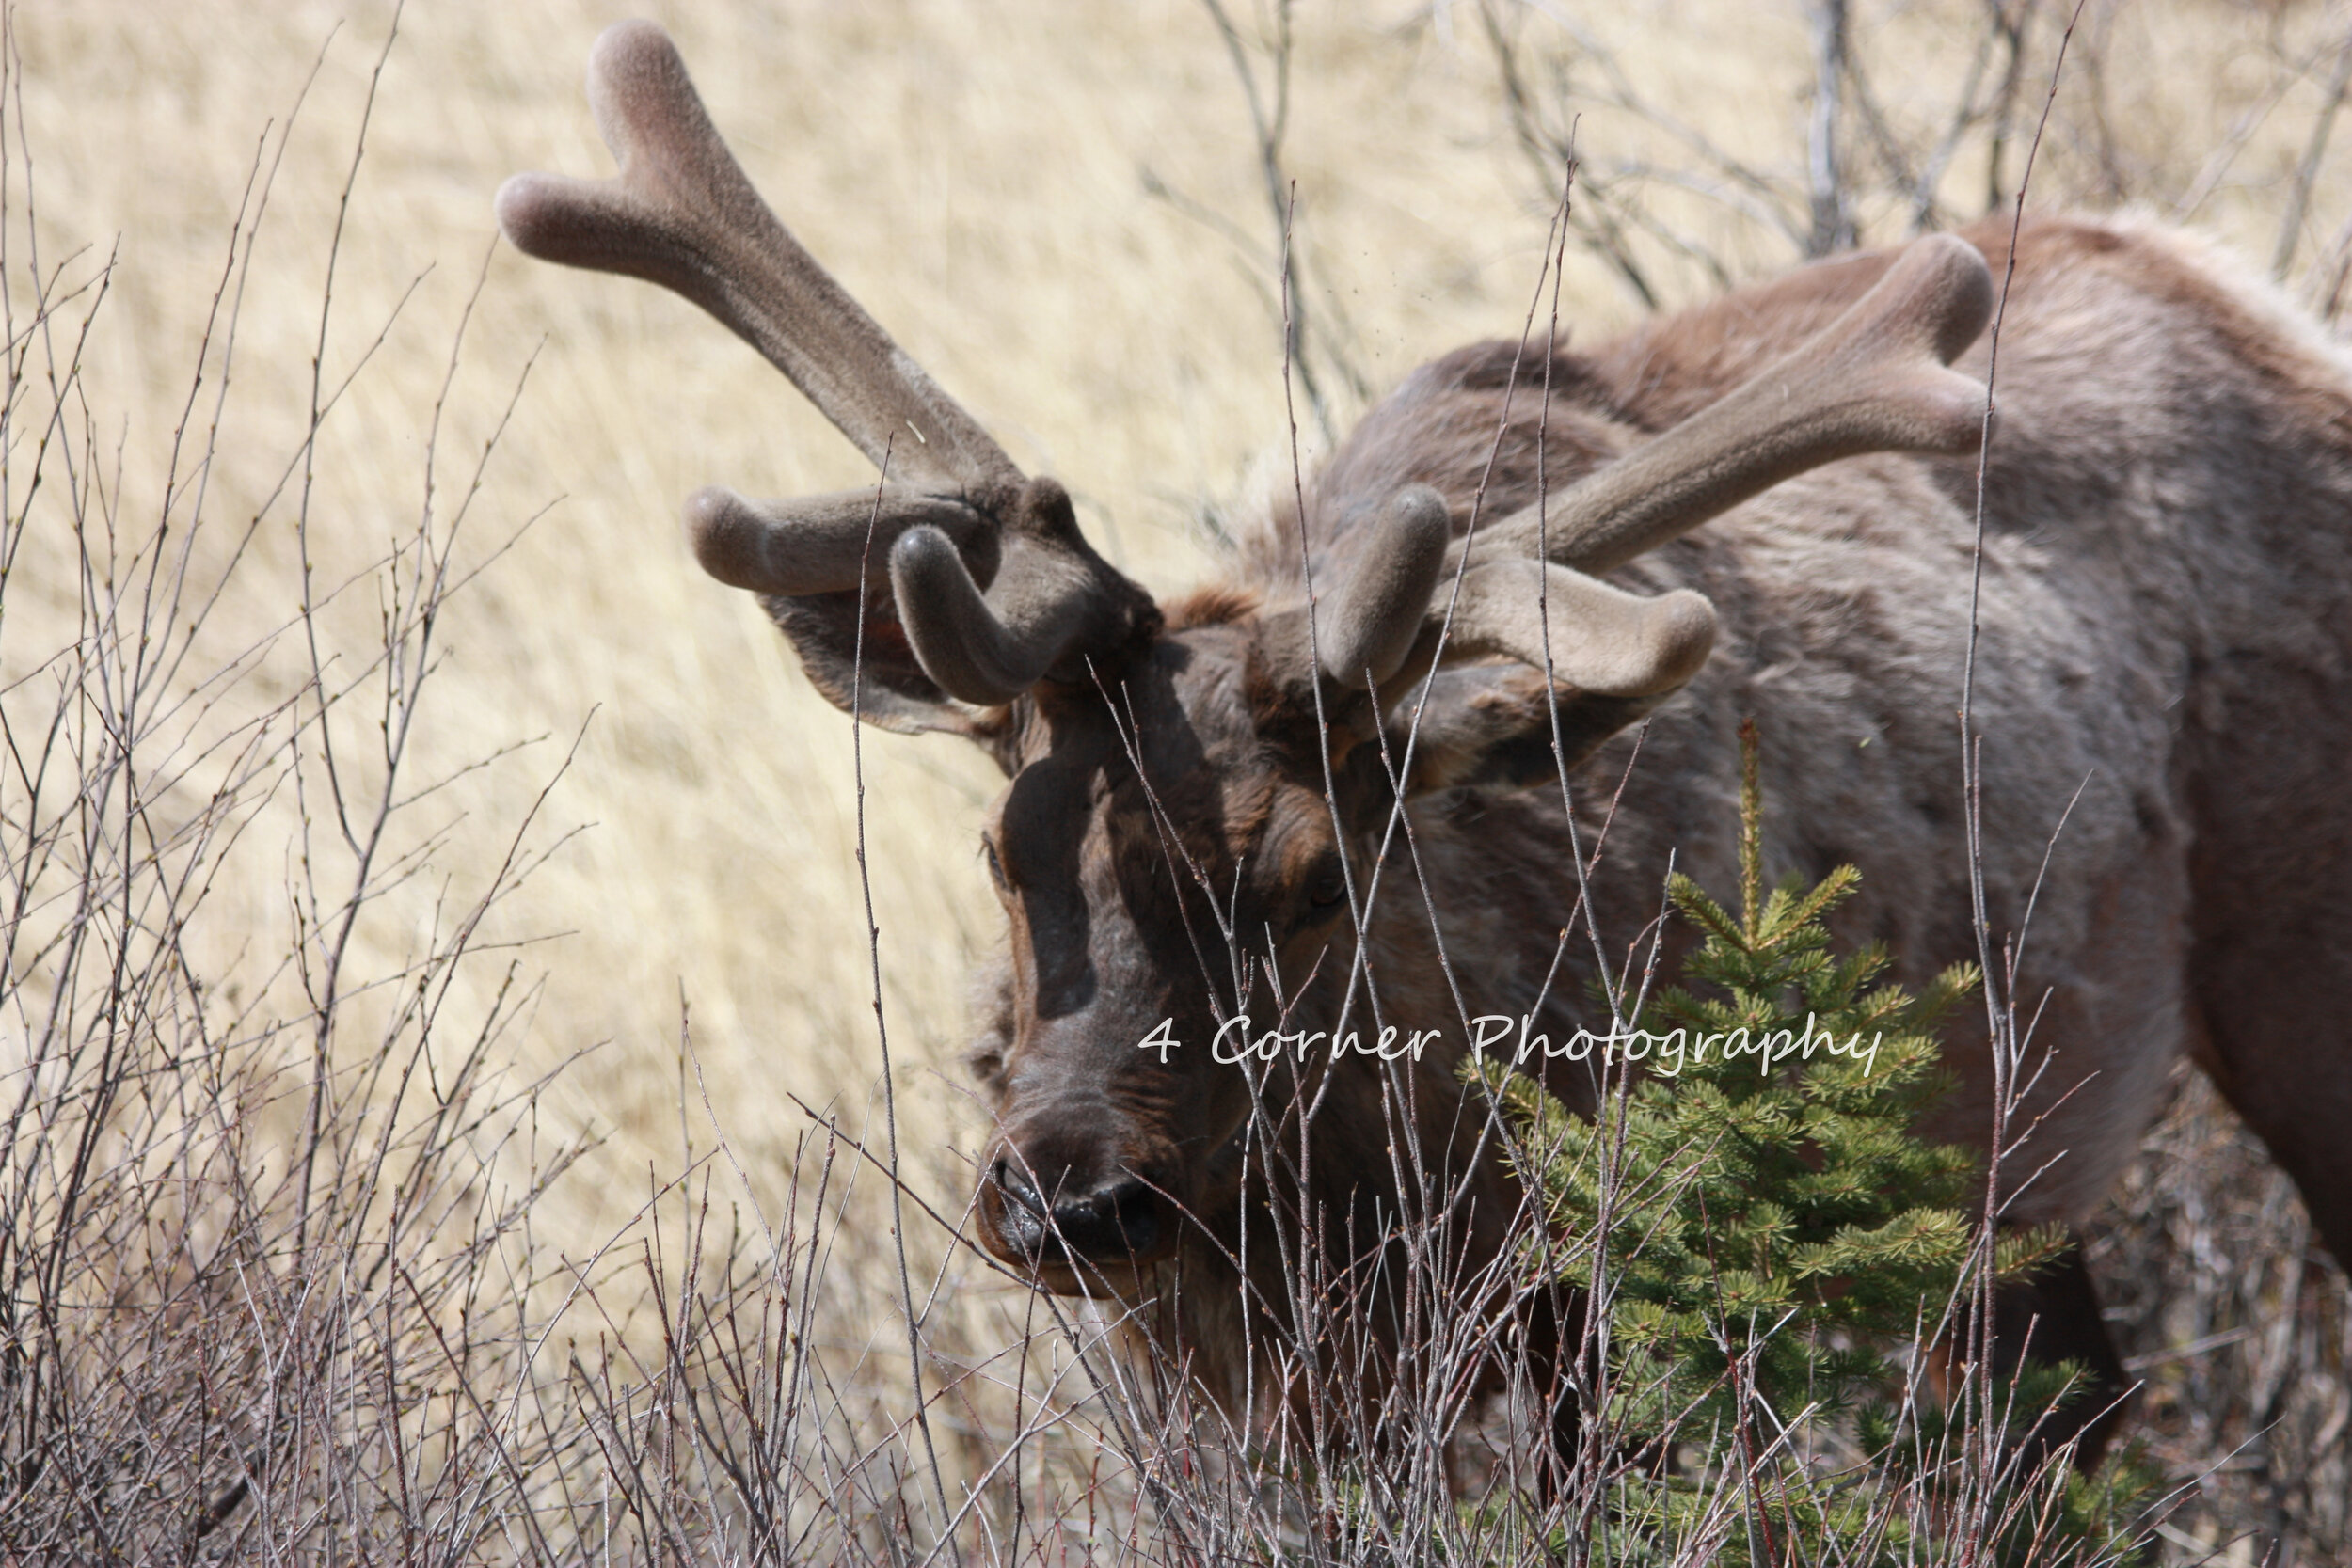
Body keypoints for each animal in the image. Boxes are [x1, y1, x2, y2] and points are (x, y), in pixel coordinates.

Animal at [499, 20, 2352, 1475]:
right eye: (999, 847)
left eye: (1320, 877)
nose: (1073, 1200)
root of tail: (2251, 292)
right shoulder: (1244, 1388)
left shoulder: (1614, 1290)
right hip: (2013, 1175)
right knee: (2068, 1416)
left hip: (2289, 957)